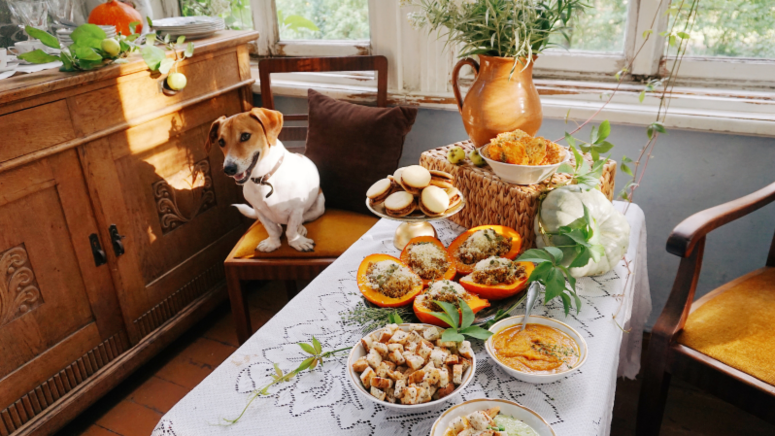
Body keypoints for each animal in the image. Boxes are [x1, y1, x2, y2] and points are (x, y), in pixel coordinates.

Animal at [206, 107, 324, 252]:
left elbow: (291, 229)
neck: (264, 179)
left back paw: (300, 229)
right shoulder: (260, 212)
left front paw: (296, 241)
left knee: (302, 219)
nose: (228, 169)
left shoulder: (296, 209)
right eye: (221, 142)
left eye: (245, 136)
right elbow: (272, 229)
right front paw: (273, 243)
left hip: (319, 206)